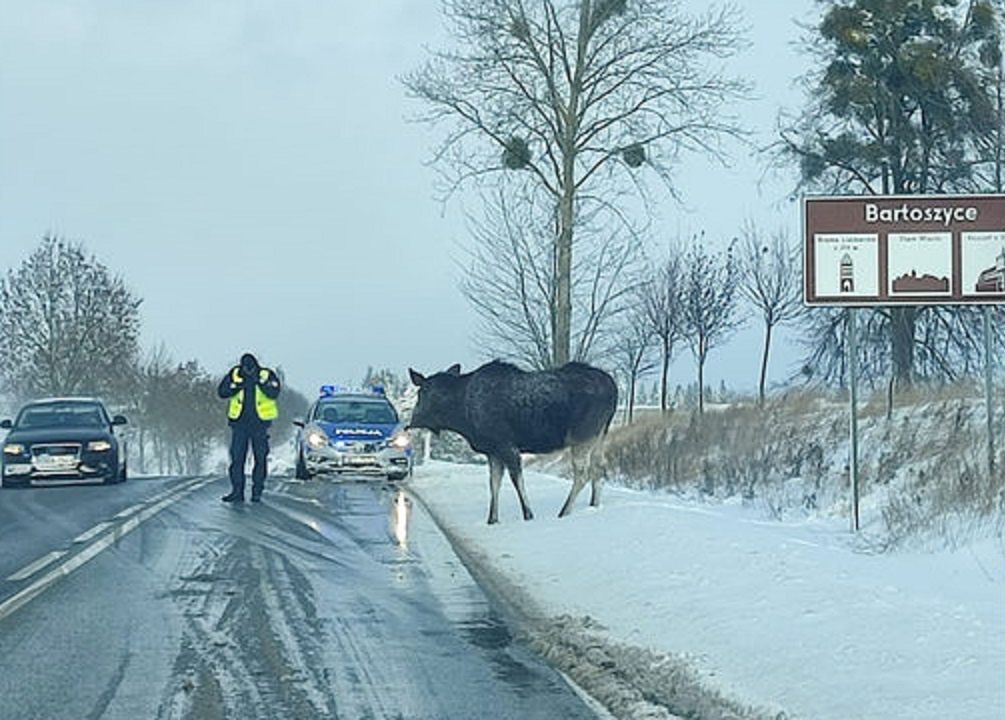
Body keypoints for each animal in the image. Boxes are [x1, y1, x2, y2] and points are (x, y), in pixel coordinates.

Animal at [406, 360, 611, 522]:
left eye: (423, 393)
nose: (412, 421)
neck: (463, 417)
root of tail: (614, 388)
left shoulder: (506, 445)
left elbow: (516, 479)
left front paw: (528, 515)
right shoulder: (492, 451)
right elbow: (494, 483)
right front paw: (492, 519)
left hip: (582, 436)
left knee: (583, 473)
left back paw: (564, 511)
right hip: (600, 435)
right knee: (599, 467)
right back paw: (594, 505)